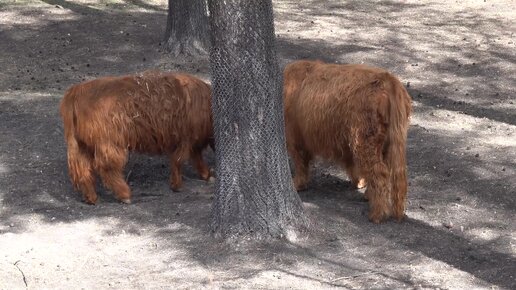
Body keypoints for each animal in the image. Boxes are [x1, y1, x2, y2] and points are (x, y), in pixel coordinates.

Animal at [60, 70, 214, 205]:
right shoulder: (187, 138)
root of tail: (75, 91)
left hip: (81, 146)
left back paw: (91, 198)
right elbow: (179, 160)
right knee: (107, 167)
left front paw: (206, 174)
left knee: (83, 171)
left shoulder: (192, 141)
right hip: (109, 143)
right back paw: (124, 195)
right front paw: (177, 185)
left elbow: (195, 157)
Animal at [282, 60, 412, 223]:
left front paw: (297, 184)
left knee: (380, 173)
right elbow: (352, 165)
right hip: (388, 142)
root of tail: (388, 79)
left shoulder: (295, 138)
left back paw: (377, 214)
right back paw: (370, 196)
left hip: (365, 141)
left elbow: (300, 164)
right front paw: (359, 182)